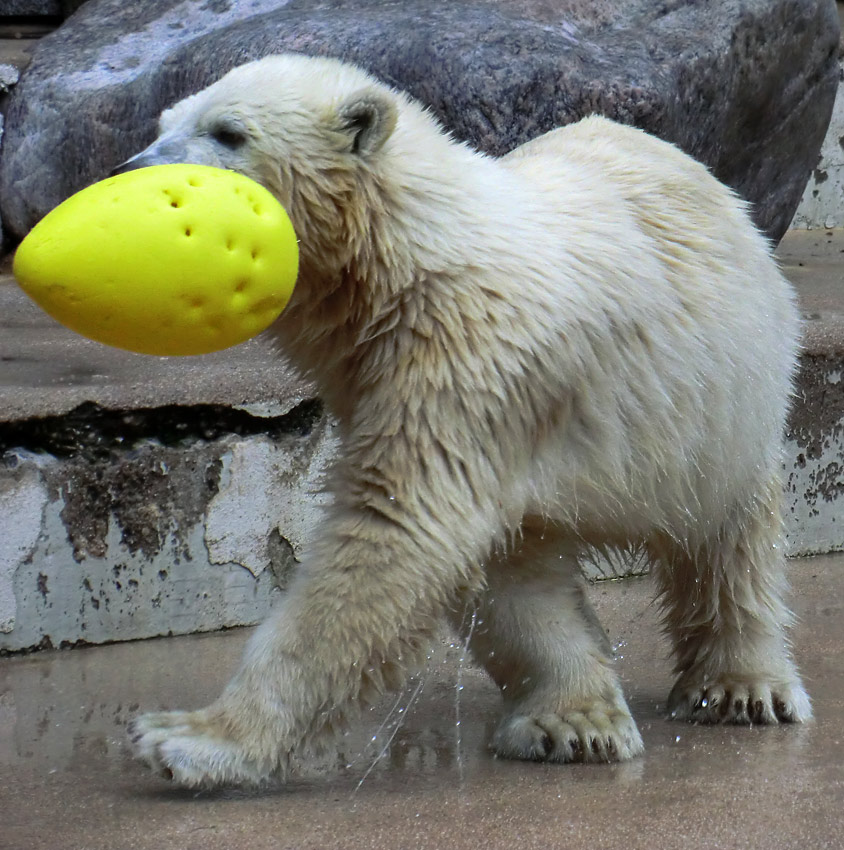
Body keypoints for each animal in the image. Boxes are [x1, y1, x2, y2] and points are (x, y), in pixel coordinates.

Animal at [120, 51, 812, 780]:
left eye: (229, 132)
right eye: (163, 122)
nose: (134, 169)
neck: (405, 257)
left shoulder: (469, 362)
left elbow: (397, 530)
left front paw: (191, 738)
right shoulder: (394, 384)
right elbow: (496, 566)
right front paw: (573, 722)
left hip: (724, 397)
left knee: (727, 534)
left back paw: (742, 687)